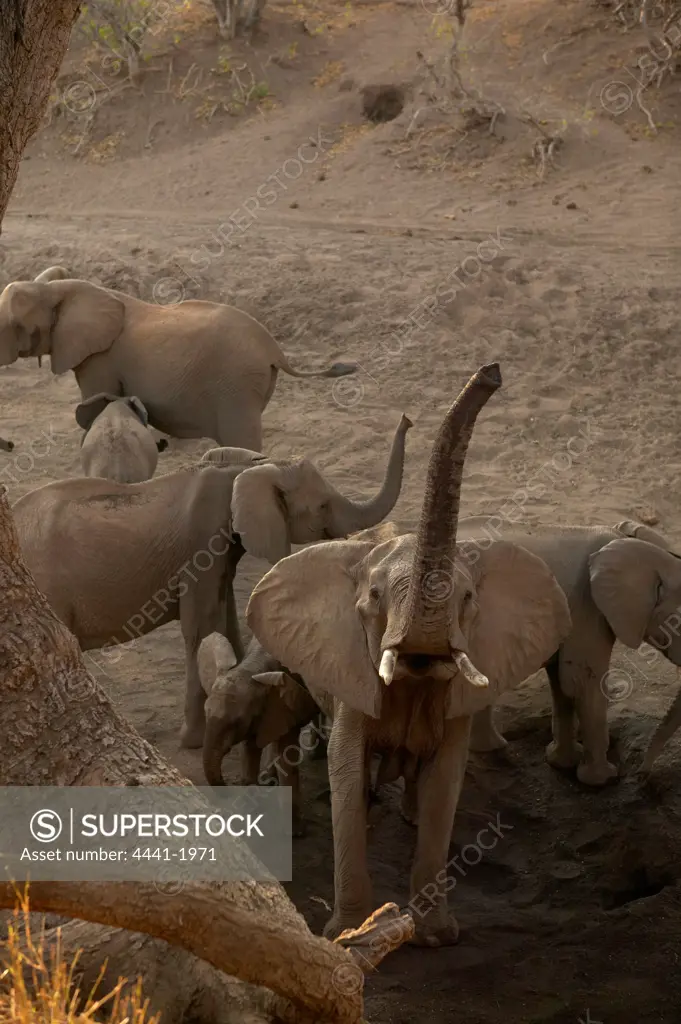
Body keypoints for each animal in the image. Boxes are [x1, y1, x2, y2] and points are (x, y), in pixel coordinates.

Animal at [0, 272, 358, 448]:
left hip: (236, 386)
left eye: (16, 326)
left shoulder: (99, 358)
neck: (60, 289)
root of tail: (274, 349)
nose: (12, 446)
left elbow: (94, 406)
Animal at [13, 411, 411, 749]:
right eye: (323, 506)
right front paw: (194, 740)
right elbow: (201, 625)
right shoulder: (200, 546)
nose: (406, 419)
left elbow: (226, 612)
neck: (248, 467)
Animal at [197, 630, 319, 839]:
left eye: (236, 722)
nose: (228, 786)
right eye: (205, 713)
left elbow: (287, 754)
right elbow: (250, 749)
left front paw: (296, 833)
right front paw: (249, 820)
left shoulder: (288, 702)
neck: (252, 668)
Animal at [244, 364, 569, 946]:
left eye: (468, 600)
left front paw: (435, 935)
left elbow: (446, 781)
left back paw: (410, 816)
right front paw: (348, 933)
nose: (492, 372)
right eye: (374, 598)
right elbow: (347, 767)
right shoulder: (352, 664)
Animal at [456, 516, 681, 786]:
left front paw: (561, 762)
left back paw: (489, 748)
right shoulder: (587, 605)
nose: (641, 776)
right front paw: (601, 780)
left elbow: (562, 684)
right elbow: (583, 682)